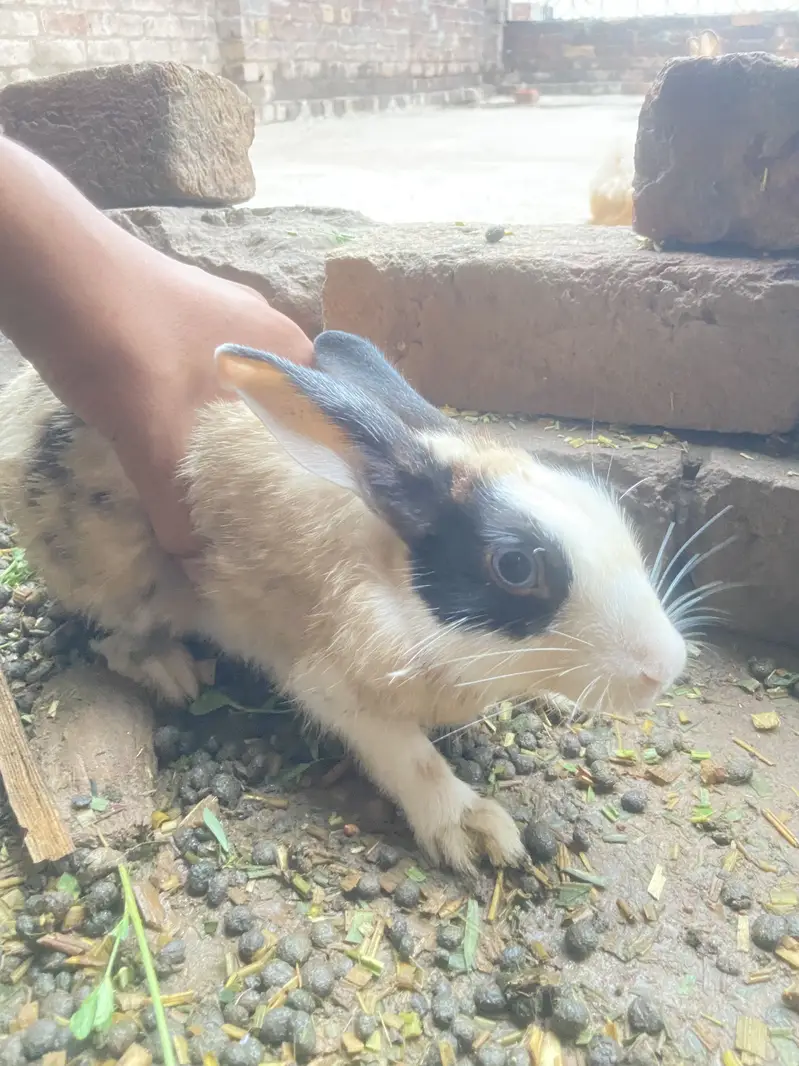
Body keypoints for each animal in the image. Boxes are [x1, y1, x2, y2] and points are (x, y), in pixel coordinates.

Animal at [0, 330, 688, 873]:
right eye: (515, 566)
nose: (666, 666)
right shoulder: (335, 686)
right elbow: (410, 759)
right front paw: (474, 832)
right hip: (116, 572)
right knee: (115, 638)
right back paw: (171, 670)